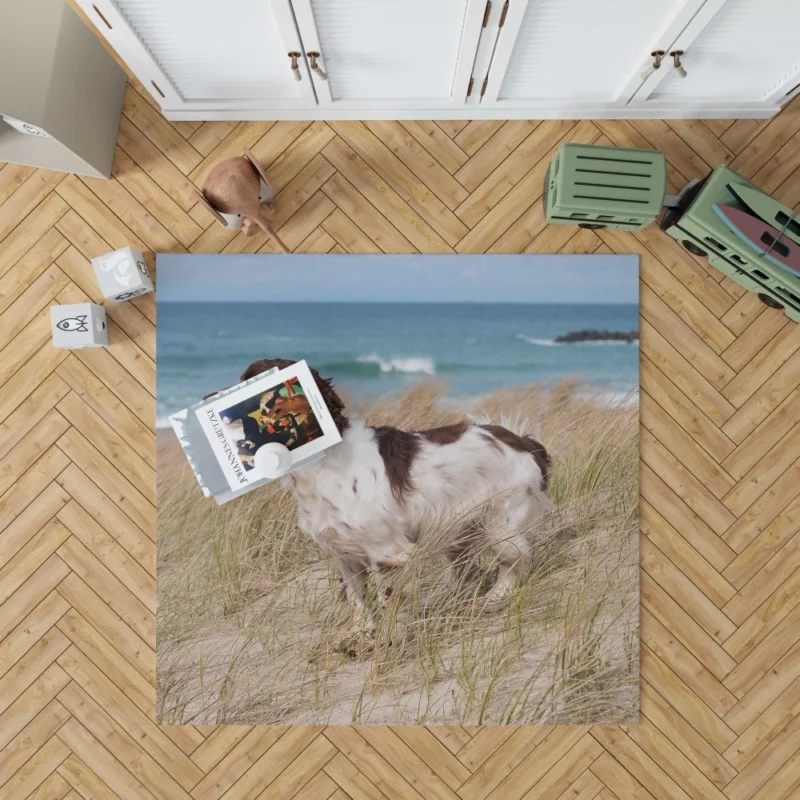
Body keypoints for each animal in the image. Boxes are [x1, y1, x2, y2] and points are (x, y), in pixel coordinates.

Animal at [239, 360, 552, 628]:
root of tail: (523, 441)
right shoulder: (345, 555)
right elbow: (357, 601)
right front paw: (361, 635)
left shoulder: (390, 552)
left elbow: (390, 601)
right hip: (459, 529)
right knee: (463, 568)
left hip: (501, 527)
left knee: (516, 560)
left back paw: (493, 598)